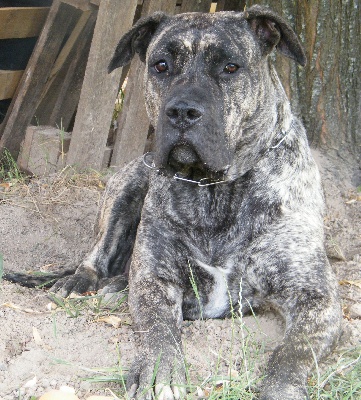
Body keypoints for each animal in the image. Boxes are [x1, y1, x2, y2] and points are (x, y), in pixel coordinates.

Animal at [4, 6, 340, 400]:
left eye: (231, 67)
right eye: (161, 65)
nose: (182, 111)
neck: (214, 188)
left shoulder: (315, 296)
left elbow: (292, 353)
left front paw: (279, 388)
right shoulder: (155, 277)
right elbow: (159, 329)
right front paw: (159, 371)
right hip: (128, 183)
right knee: (96, 256)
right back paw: (83, 282)